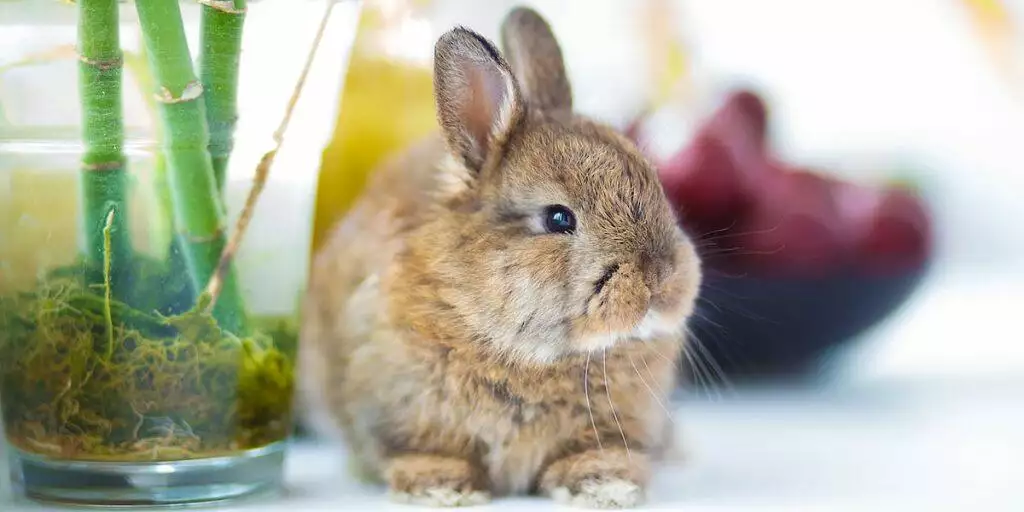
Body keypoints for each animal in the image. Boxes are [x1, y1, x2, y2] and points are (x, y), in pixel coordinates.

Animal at [298, 6, 702, 509]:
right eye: (558, 218)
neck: (534, 356)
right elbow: (425, 453)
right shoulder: (404, 413)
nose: (662, 280)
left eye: (656, 184)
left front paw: (606, 486)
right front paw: (442, 489)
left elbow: (598, 454)